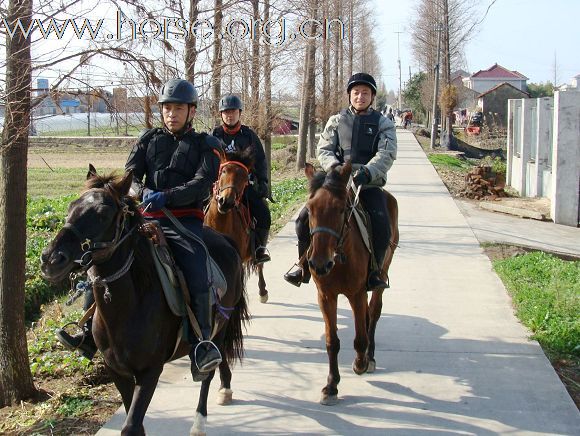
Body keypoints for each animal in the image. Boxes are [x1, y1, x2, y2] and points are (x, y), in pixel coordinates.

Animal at [40, 167, 249, 436]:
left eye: (103, 213)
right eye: (70, 207)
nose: (50, 259)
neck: (128, 308)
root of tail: (225, 241)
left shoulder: (150, 372)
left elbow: (131, 426)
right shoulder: (117, 372)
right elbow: (134, 421)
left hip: (219, 327)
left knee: (210, 368)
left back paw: (199, 421)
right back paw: (225, 389)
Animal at [204, 148, 270, 302]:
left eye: (245, 177)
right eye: (223, 171)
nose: (226, 202)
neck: (220, 224)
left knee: (260, 265)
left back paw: (263, 292)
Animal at [304, 163, 398, 406]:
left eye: (340, 209)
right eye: (310, 209)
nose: (319, 264)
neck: (338, 257)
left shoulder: (357, 294)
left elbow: (360, 338)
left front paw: (360, 363)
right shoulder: (326, 296)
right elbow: (332, 341)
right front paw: (331, 386)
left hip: (381, 274)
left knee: (373, 312)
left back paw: (370, 358)